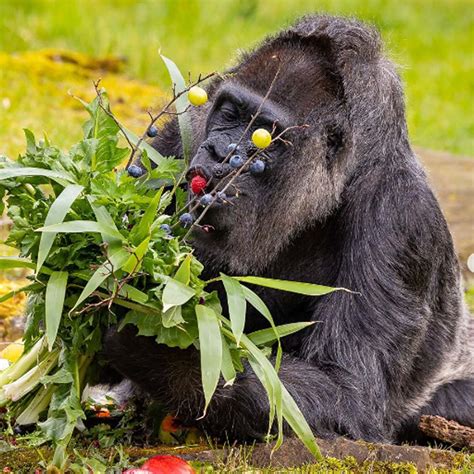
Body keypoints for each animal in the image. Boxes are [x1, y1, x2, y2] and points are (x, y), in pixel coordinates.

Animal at [104, 15, 474, 444]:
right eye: (230, 112)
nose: (218, 153)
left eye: (264, 132)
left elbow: (349, 393)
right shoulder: (176, 137)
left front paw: (157, 348)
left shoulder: (401, 217)